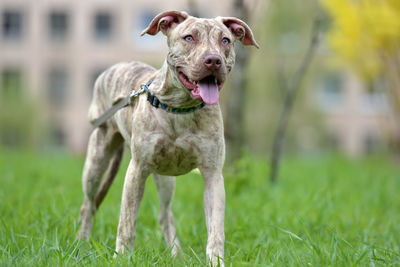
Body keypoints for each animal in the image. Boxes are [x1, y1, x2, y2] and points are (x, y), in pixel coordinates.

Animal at [77, 9, 260, 266]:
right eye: (189, 37)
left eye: (225, 40)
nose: (213, 60)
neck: (180, 108)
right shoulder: (136, 171)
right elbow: (126, 222)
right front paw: (122, 256)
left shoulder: (213, 175)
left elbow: (216, 229)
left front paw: (215, 261)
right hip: (96, 159)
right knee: (89, 204)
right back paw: (81, 242)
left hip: (165, 179)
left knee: (165, 214)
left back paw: (176, 253)